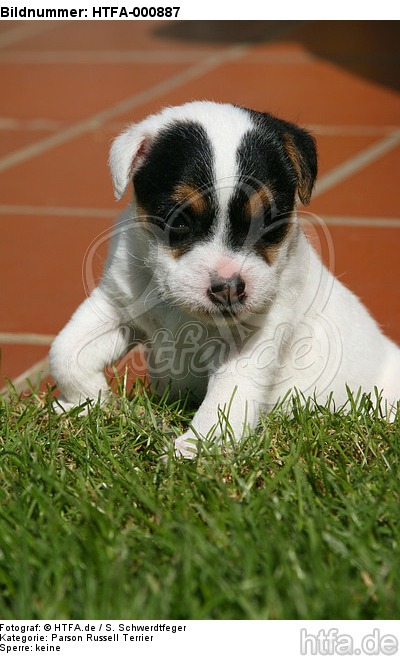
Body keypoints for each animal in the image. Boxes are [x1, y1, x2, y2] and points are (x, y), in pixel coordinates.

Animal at [50, 101, 400, 456]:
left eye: (268, 221)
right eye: (179, 221)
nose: (229, 289)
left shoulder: (250, 341)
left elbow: (225, 399)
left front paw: (195, 449)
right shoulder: (116, 306)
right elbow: (66, 351)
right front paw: (87, 401)